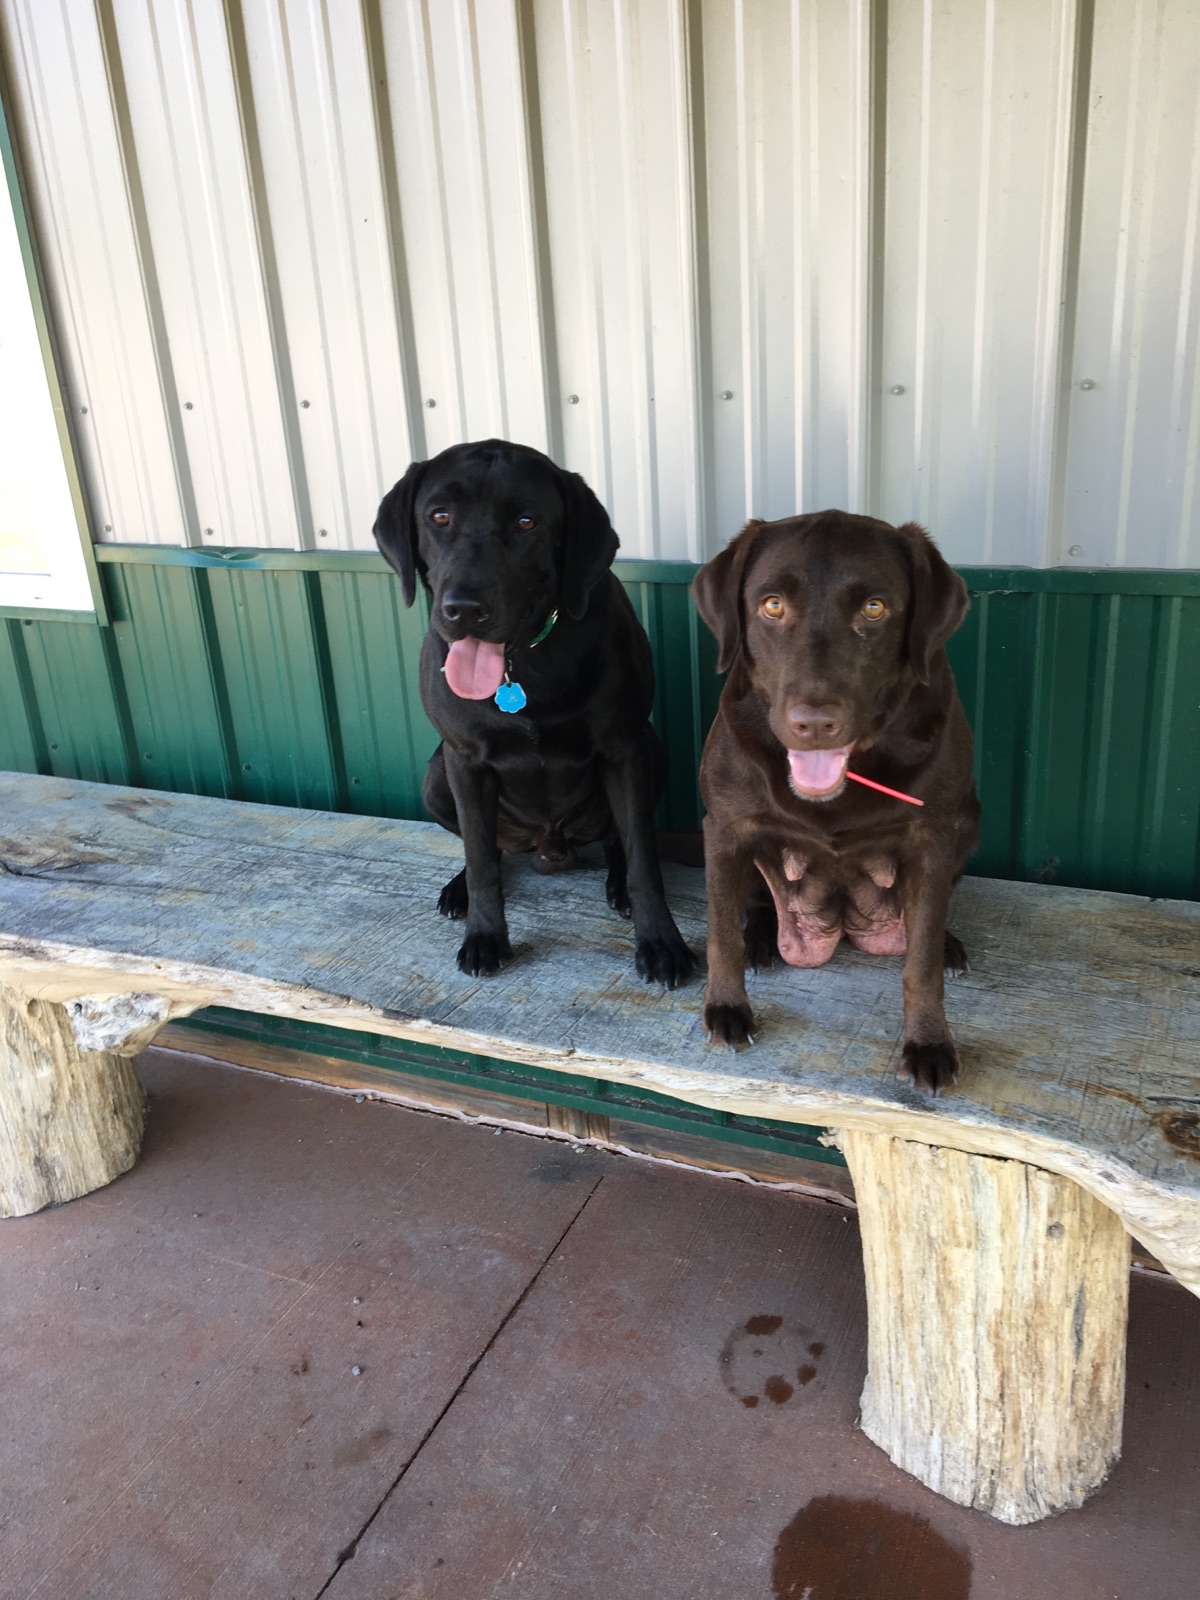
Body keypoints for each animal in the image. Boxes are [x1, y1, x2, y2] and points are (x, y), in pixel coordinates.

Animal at [376, 441, 694, 985]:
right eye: (439, 516)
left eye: (527, 522)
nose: (464, 609)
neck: (520, 663)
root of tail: (551, 846)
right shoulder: (465, 760)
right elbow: (482, 859)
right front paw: (485, 935)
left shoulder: (625, 748)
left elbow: (643, 858)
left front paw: (661, 942)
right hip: (436, 777)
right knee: (487, 847)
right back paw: (458, 888)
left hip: (654, 751)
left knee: (618, 841)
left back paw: (616, 884)